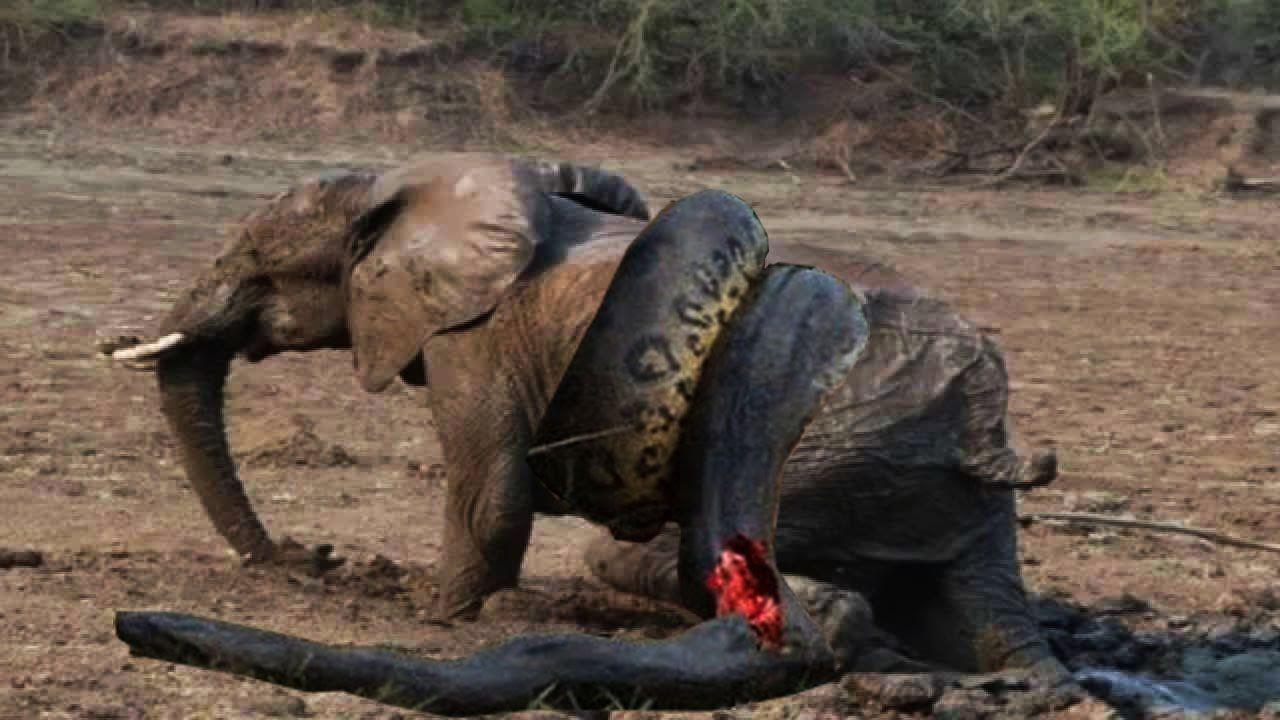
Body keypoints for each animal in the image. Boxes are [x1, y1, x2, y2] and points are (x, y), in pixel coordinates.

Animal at [108, 156, 1068, 712]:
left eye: (257, 260)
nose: (301, 558)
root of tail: (981, 420)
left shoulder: (472, 336)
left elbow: (491, 494)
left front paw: (444, 614)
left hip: (833, 444)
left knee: (659, 558)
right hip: (927, 482)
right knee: (988, 614)